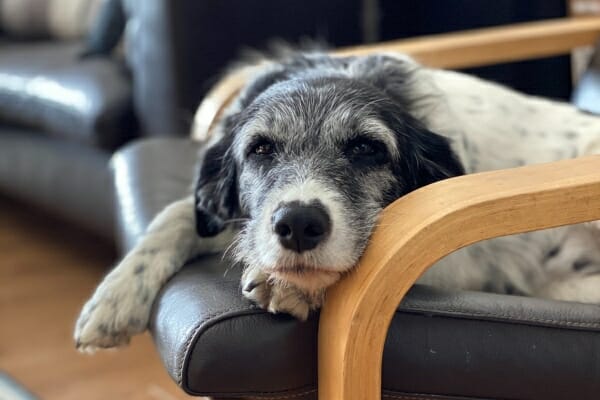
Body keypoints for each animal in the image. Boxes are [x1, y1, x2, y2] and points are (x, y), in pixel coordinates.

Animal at [76, 52, 600, 350]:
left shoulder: (461, 266)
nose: (298, 225)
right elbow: (177, 216)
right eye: (260, 149)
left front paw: (289, 283)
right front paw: (114, 298)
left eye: (368, 148)